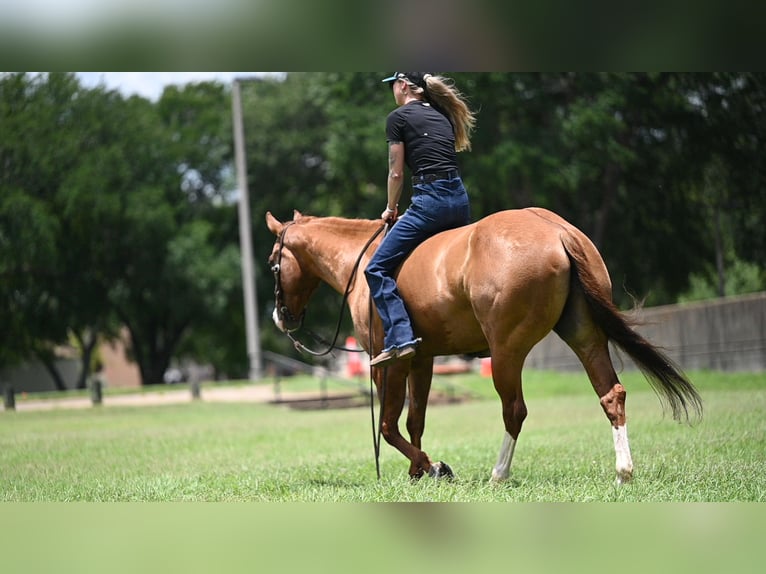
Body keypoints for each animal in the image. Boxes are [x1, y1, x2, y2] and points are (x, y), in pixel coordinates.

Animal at [265, 208, 702, 484]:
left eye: (273, 261)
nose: (281, 317)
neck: (364, 261)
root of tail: (557, 230)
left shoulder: (388, 364)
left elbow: (389, 426)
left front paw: (433, 467)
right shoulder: (422, 360)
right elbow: (415, 420)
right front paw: (417, 473)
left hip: (506, 349)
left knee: (514, 410)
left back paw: (499, 474)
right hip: (584, 335)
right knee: (611, 394)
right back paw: (623, 472)